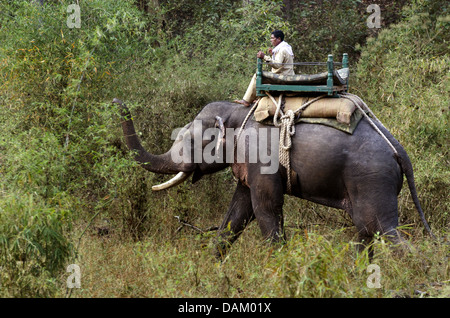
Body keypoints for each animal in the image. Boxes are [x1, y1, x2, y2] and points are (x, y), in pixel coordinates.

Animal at [111, 98, 432, 258]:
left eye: (187, 140)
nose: (117, 100)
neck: (239, 112)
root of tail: (399, 150)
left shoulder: (261, 161)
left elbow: (265, 209)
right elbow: (238, 212)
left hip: (372, 179)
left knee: (381, 229)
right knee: (366, 233)